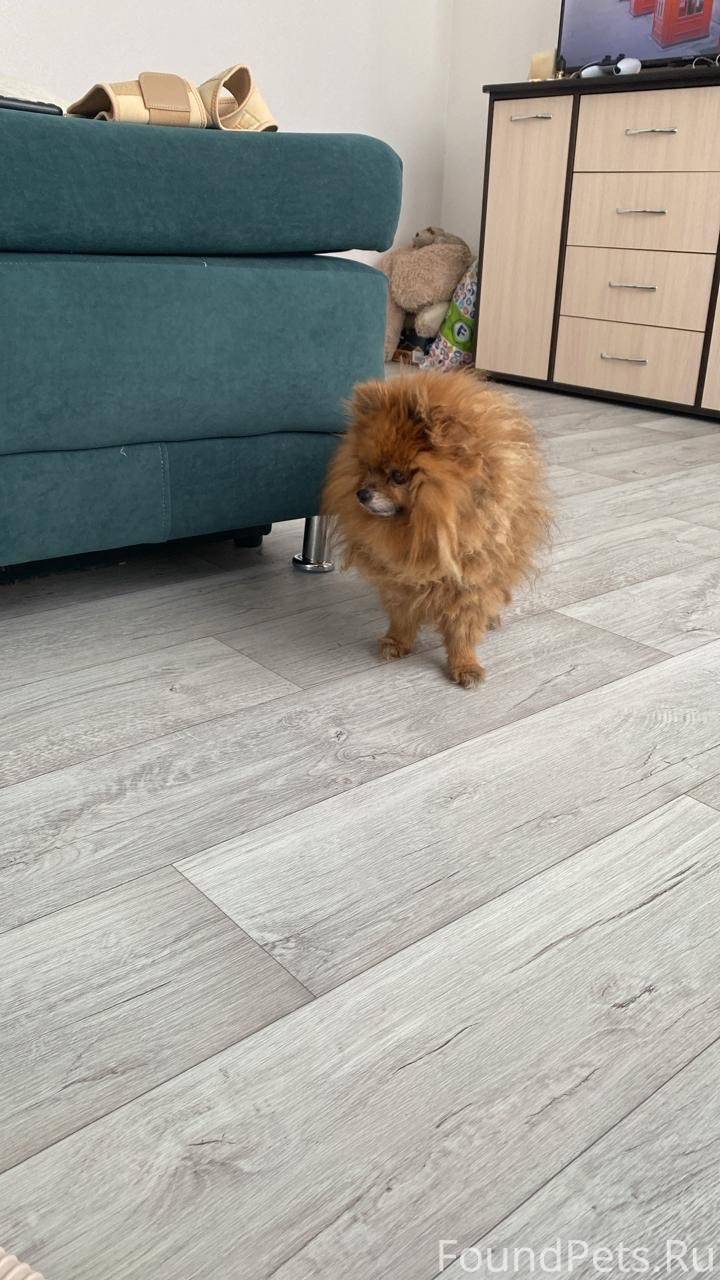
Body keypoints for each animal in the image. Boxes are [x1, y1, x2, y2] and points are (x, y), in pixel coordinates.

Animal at [322, 370, 551, 688]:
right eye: (367, 468)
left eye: (398, 476)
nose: (362, 493)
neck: (420, 530)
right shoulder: (400, 580)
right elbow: (402, 615)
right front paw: (396, 642)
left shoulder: (469, 581)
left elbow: (463, 629)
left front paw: (465, 665)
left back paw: (491, 617)